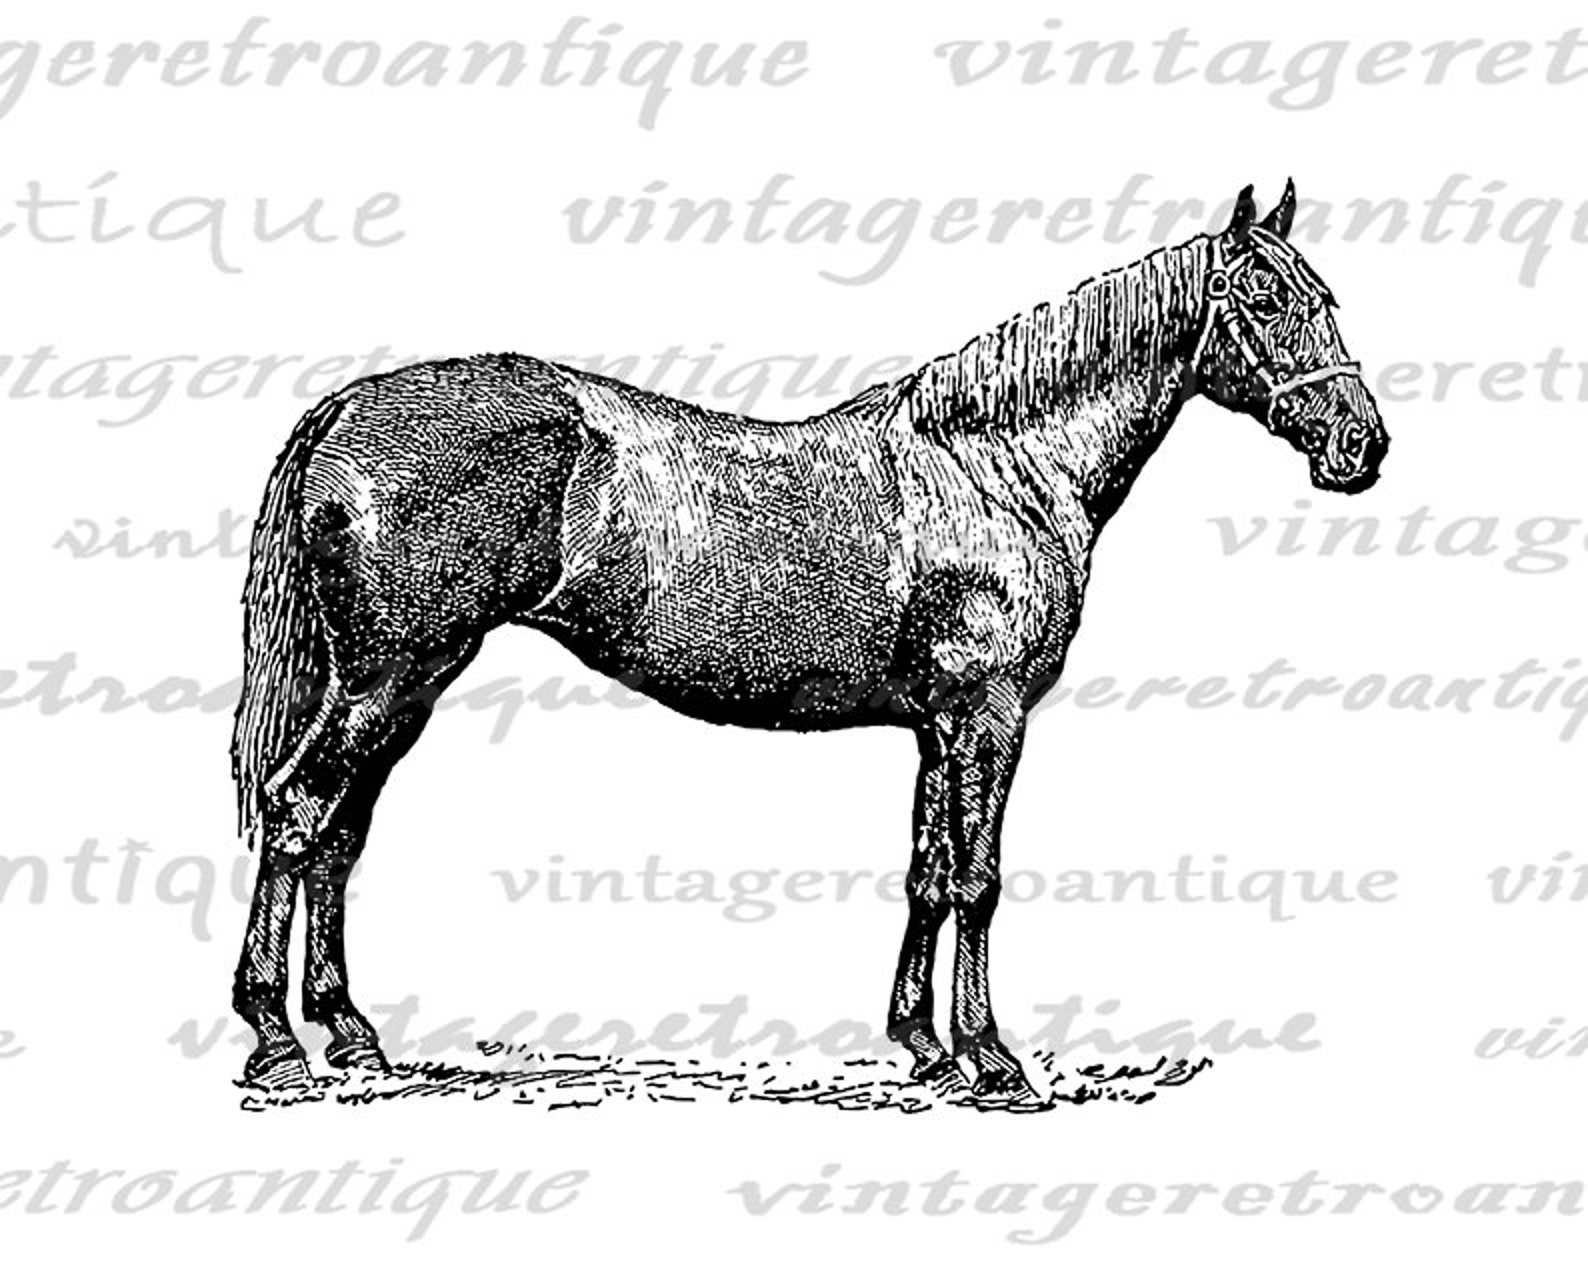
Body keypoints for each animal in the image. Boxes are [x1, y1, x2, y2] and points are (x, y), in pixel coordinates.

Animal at [229, 181, 1390, 1104]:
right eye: (1265, 300)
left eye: (1327, 299)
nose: (1361, 445)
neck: (995, 466)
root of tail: (346, 408)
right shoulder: (990, 713)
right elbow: (979, 878)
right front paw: (994, 1061)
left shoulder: (936, 725)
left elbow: (928, 872)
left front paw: (923, 1045)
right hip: (385, 679)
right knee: (298, 813)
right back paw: (278, 1041)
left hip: (405, 684)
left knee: (337, 833)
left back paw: (350, 1033)